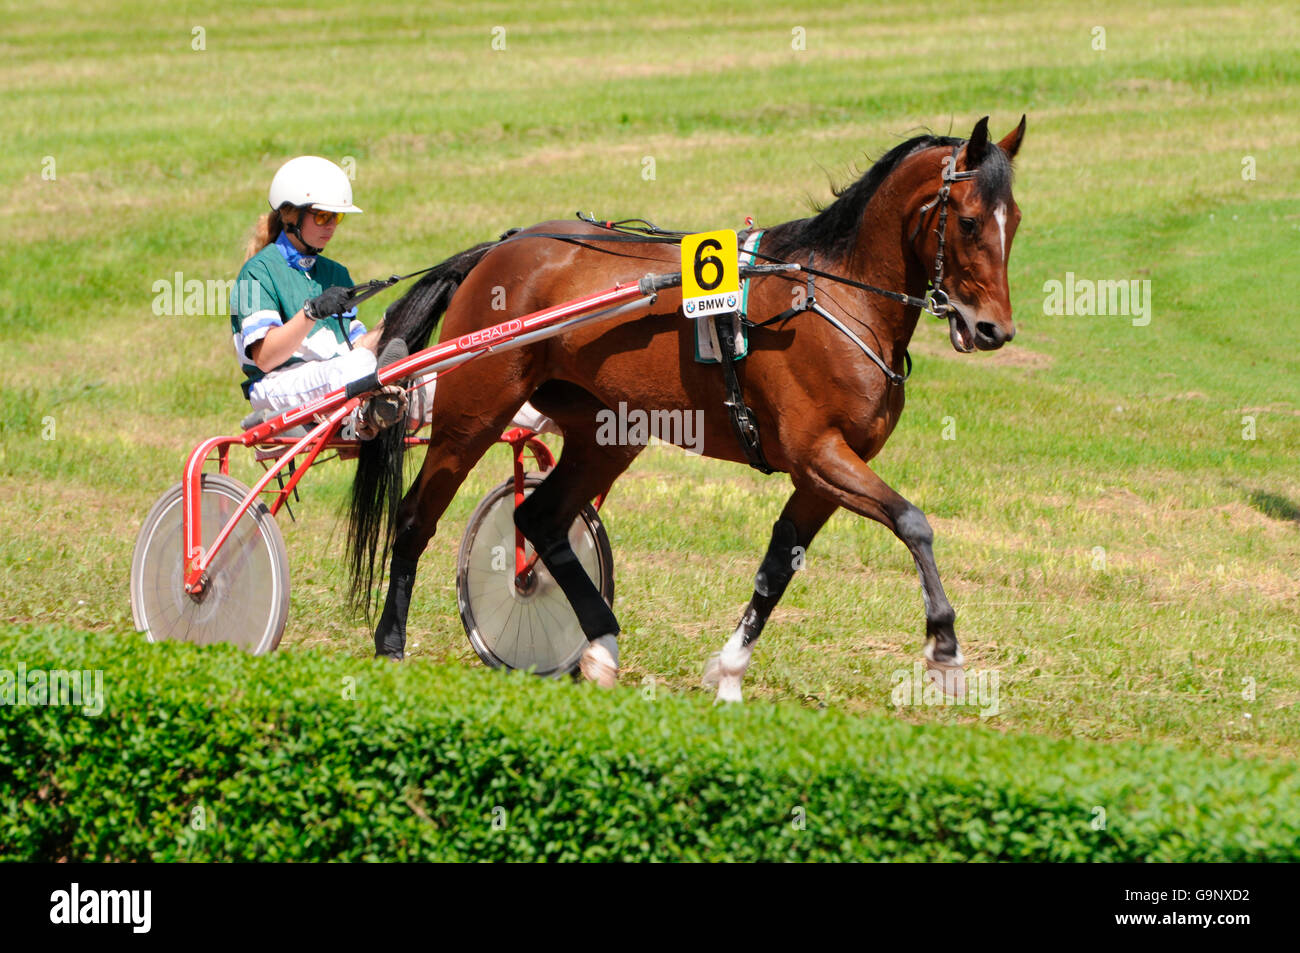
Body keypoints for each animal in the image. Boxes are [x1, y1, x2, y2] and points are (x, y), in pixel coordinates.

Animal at [345, 115, 1024, 702]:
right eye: (968, 222)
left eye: (1013, 220)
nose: (993, 330)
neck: (830, 296)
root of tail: (500, 249)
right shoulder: (819, 453)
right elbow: (913, 522)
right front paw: (944, 650)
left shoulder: (821, 476)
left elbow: (776, 568)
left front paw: (729, 673)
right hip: (474, 413)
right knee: (415, 517)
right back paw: (391, 643)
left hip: (610, 431)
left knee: (539, 517)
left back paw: (600, 645)